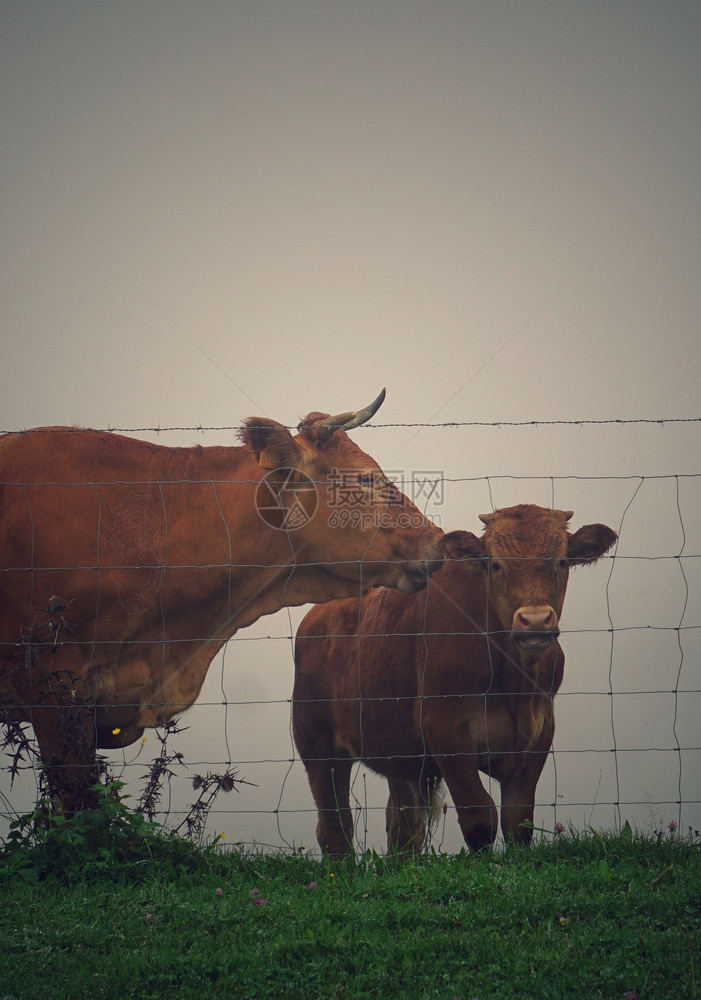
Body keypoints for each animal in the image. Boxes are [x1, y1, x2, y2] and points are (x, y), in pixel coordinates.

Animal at [292, 504, 616, 856]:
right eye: (495, 564)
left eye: (561, 561)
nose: (534, 621)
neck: (512, 682)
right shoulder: (444, 730)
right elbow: (480, 818)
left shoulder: (540, 731)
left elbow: (518, 821)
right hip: (317, 743)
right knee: (335, 827)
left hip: (400, 755)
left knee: (404, 828)